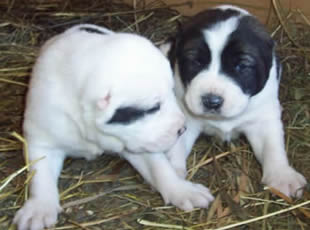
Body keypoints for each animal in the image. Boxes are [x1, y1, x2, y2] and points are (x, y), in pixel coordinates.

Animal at [13, 23, 213, 230]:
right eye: (153, 108)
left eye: (173, 92)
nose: (182, 129)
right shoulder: (42, 139)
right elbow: (40, 174)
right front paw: (39, 208)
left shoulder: (140, 142)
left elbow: (160, 168)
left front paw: (182, 189)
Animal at [162, 4, 308, 204]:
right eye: (195, 62)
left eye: (241, 66)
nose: (212, 101)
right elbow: (175, 146)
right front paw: (176, 182)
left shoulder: (263, 119)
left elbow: (272, 146)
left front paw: (283, 176)